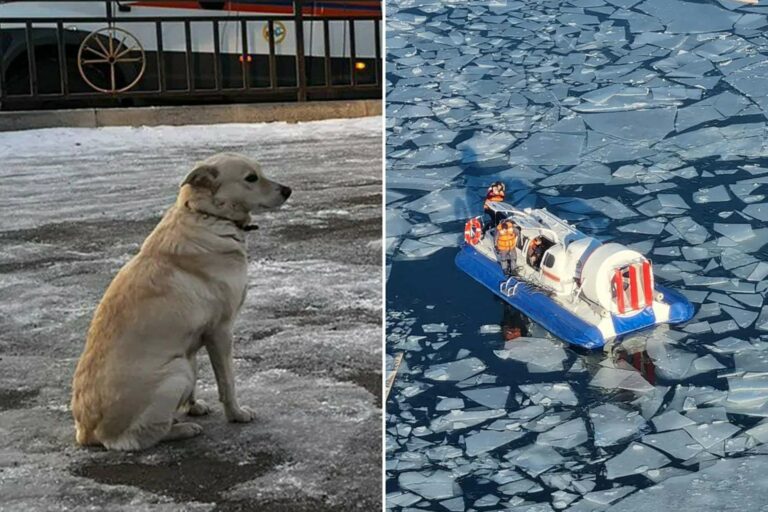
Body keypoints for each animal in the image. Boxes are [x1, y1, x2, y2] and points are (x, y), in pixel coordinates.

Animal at [71, 153, 292, 452]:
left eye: (261, 172)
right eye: (251, 178)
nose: (288, 190)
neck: (207, 215)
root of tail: (87, 432)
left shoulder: (193, 341)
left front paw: (193, 406)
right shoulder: (221, 331)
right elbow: (228, 382)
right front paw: (236, 414)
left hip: (182, 364)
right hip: (177, 372)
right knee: (137, 438)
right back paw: (182, 429)